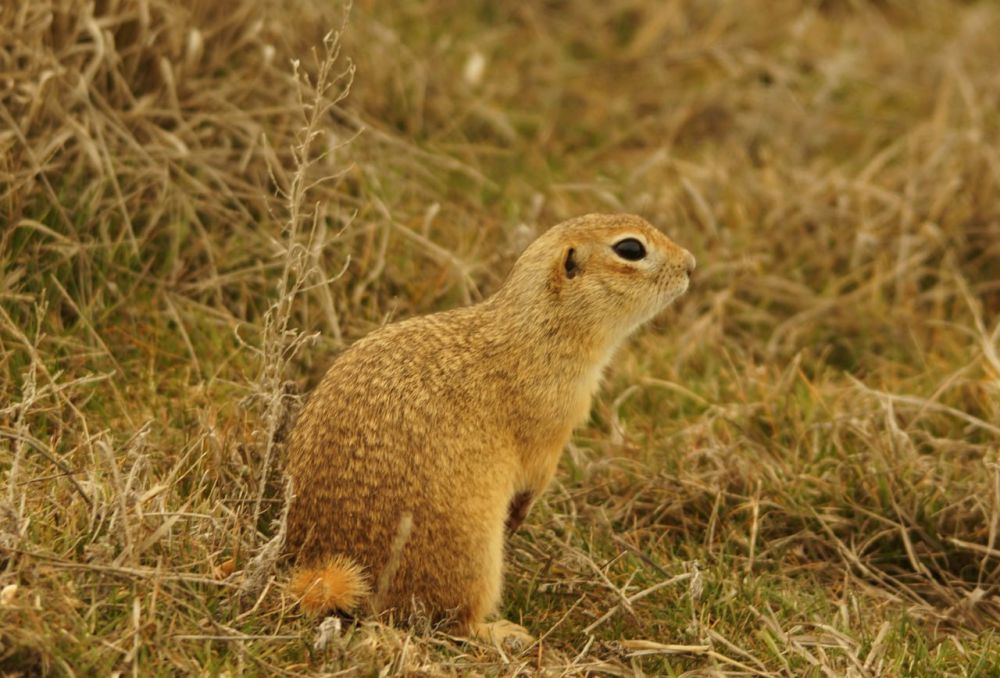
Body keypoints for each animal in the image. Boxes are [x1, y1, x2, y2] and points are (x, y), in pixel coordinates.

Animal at [283, 213, 695, 644]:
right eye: (630, 249)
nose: (690, 264)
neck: (538, 331)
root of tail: (322, 570)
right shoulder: (549, 430)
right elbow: (535, 474)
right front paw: (519, 515)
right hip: (474, 559)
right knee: (452, 621)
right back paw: (502, 632)